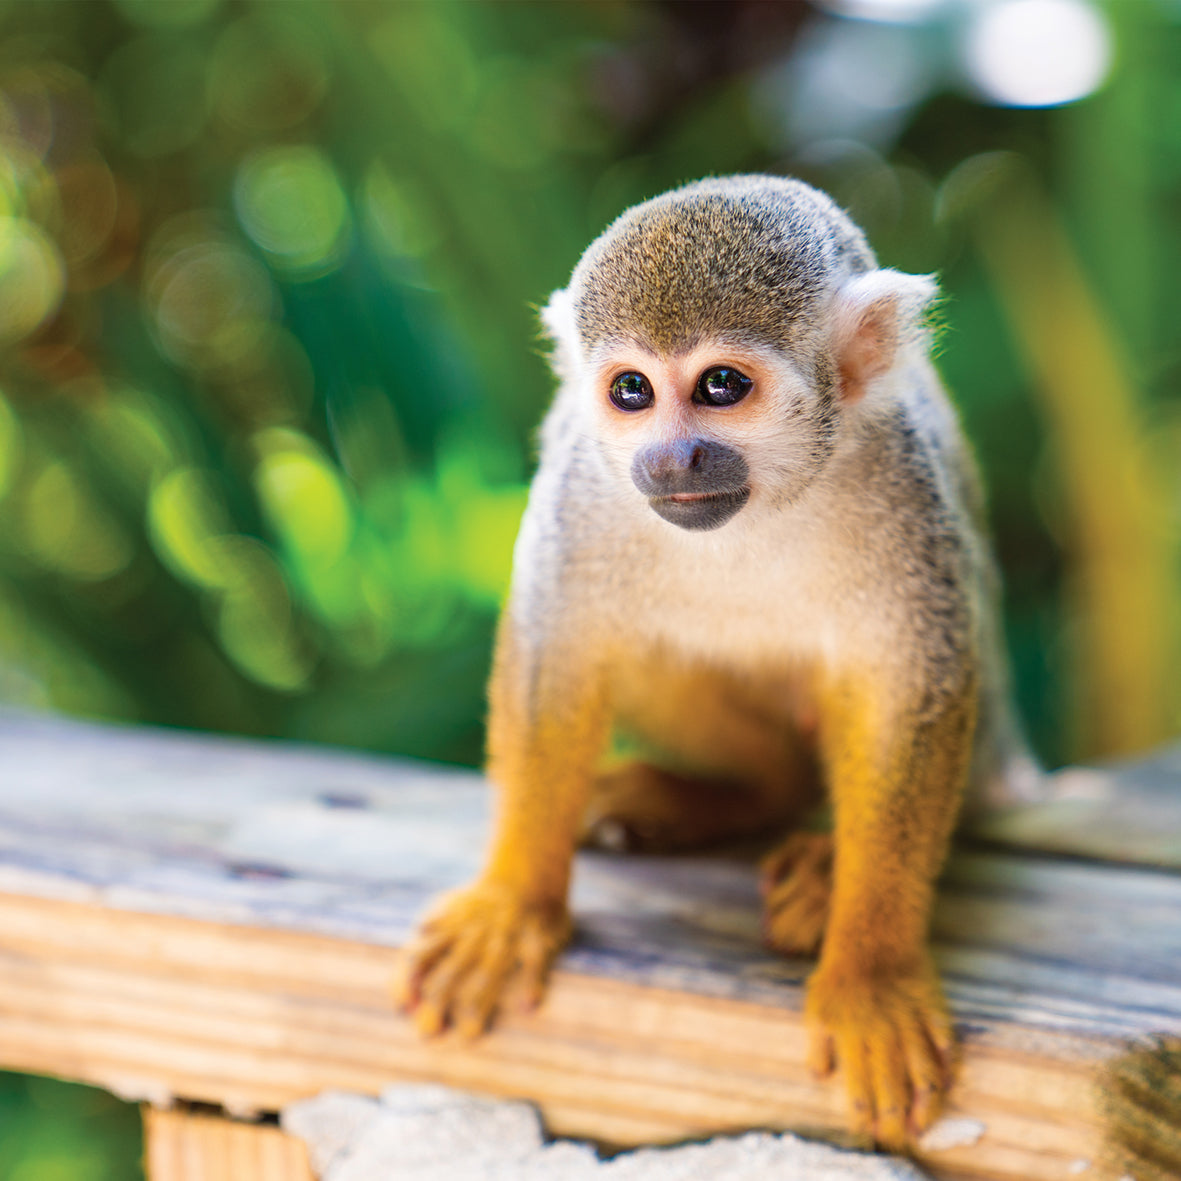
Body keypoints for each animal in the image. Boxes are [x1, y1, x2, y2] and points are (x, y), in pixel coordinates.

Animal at [395, 175, 1038, 1153]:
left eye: (720, 385)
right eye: (631, 390)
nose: (670, 458)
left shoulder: (901, 485)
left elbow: (908, 686)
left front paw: (872, 970)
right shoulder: (586, 487)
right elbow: (561, 643)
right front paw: (512, 903)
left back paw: (821, 856)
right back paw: (737, 795)